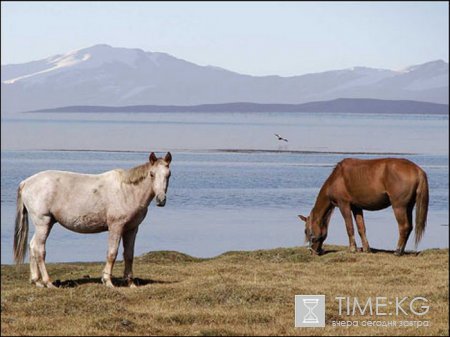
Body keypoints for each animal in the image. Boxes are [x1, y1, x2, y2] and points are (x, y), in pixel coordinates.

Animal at [13, 152, 172, 286]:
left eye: (168, 175)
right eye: (152, 174)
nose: (161, 200)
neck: (127, 191)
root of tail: (26, 182)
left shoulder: (132, 229)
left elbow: (129, 255)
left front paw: (130, 283)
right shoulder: (116, 226)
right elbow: (112, 253)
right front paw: (108, 281)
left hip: (46, 223)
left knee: (32, 246)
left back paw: (37, 281)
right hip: (43, 223)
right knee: (39, 249)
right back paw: (48, 282)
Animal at [298, 158, 428, 255]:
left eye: (306, 231)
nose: (313, 251)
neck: (337, 178)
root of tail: (417, 170)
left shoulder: (344, 204)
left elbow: (349, 227)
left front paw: (352, 249)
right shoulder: (357, 207)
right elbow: (361, 228)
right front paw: (366, 249)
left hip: (399, 207)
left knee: (404, 227)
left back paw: (397, 251)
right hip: (409, 207)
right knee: (409, 227)